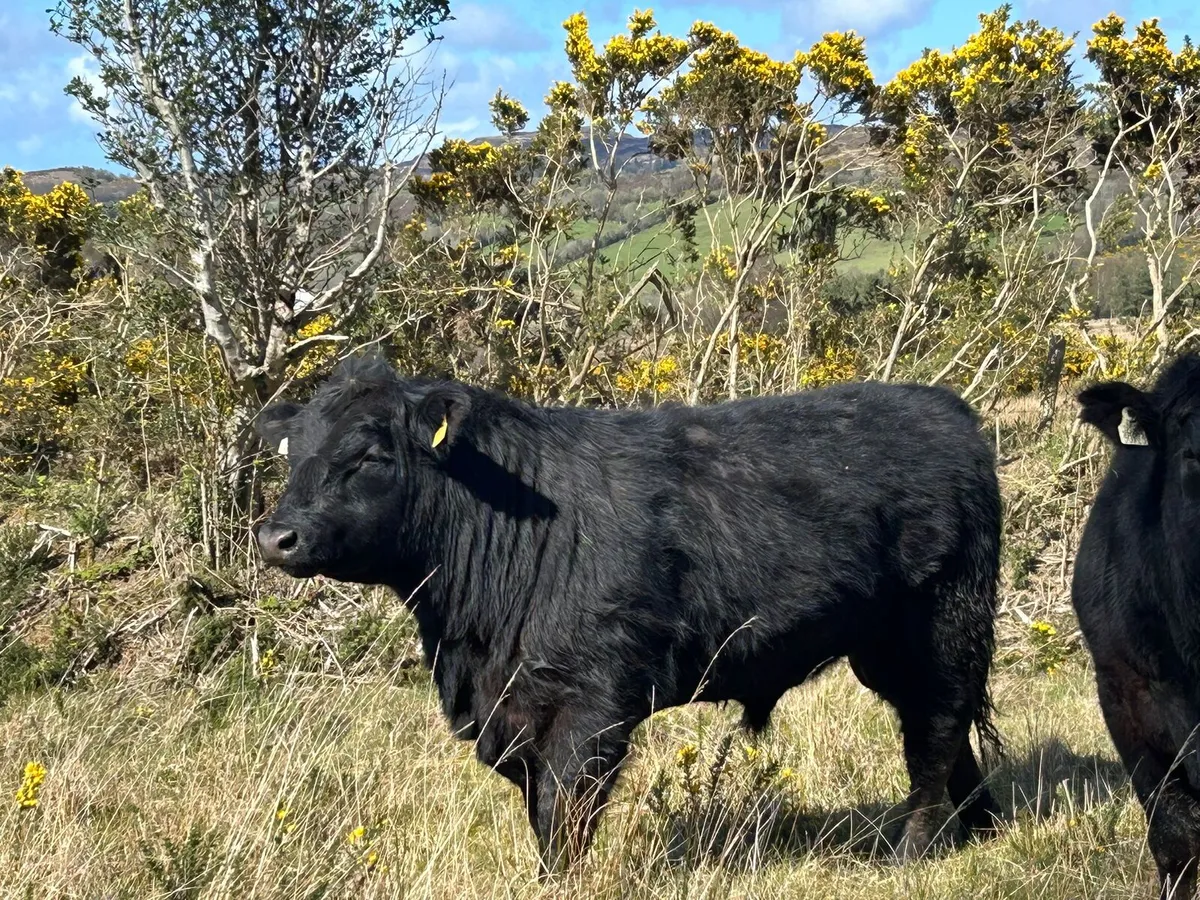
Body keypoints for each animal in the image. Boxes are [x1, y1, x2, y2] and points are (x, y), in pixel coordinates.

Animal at [252, 355, 1004, 873]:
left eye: (369, 454)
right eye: (294, 453)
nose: (276, 535)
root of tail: (946, 409)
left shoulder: (592, 701)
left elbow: (563, 810)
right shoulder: (509, 711)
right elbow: (540, 810)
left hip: (940, 627)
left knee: (934, 734)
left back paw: (912, 851)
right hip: (889, 647)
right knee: (951, 732)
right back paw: (983, 827)